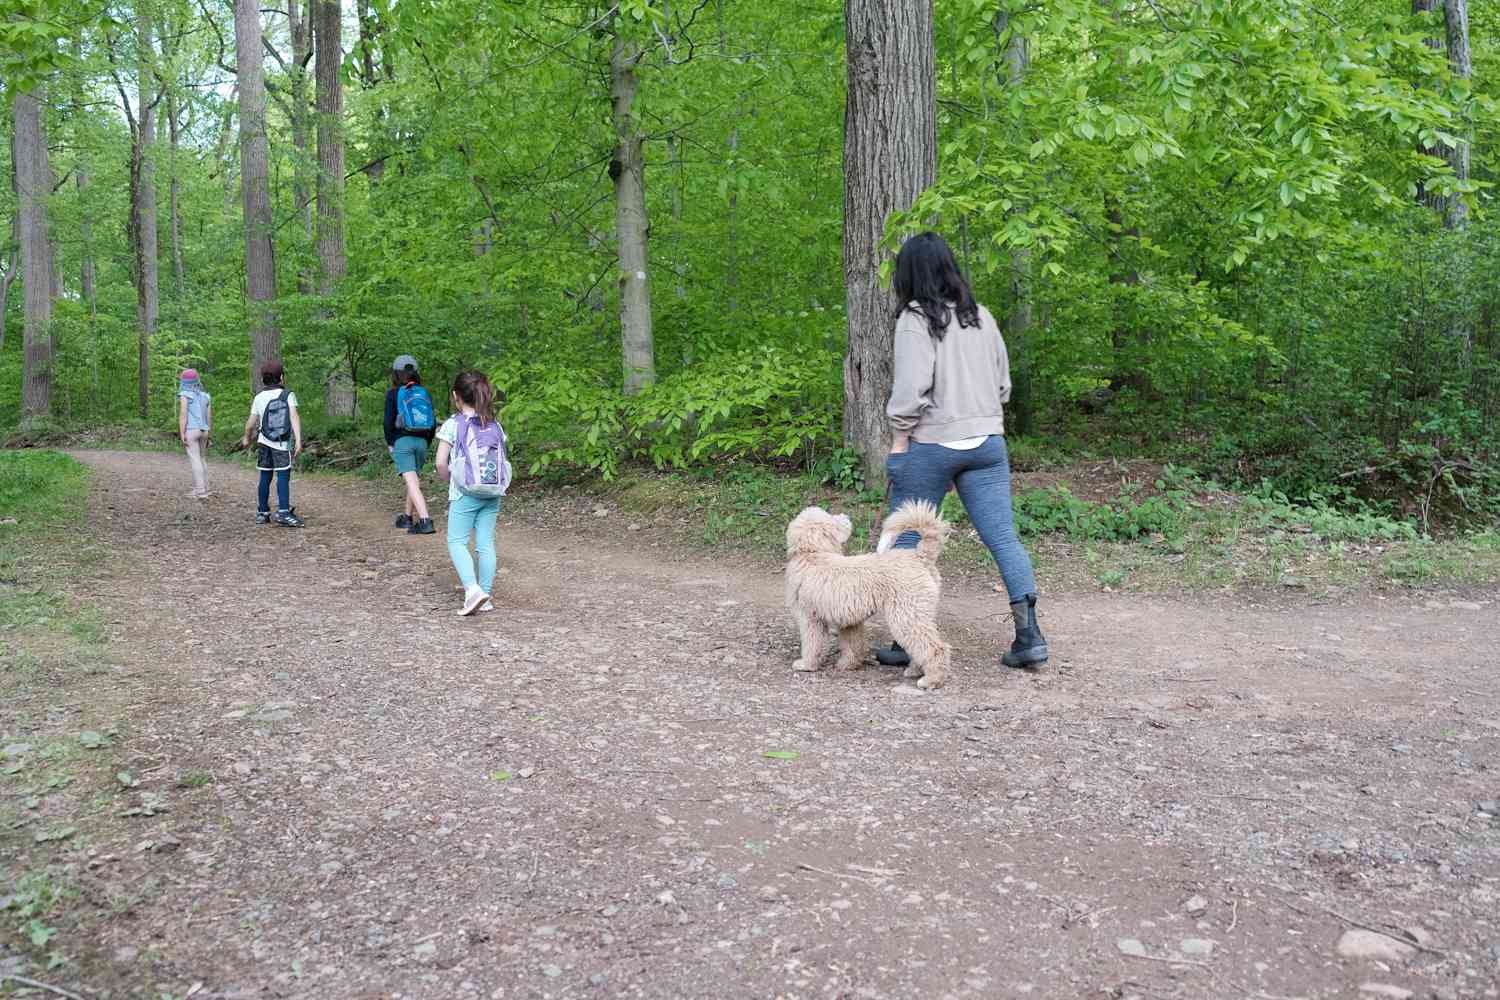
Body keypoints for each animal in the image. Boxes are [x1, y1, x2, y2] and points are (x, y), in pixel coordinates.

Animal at [786, 500, 948, 689]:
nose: (845, 516)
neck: (813, 554)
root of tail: (919, 555)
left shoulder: (810, 619)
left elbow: (812, 644)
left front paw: (806, 665)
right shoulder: (850, 621)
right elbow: (852, 645)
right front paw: (848, 664)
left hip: (906, 617)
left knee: (935, 648)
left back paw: (932, 679)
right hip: (917, 615)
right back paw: (914, 670)